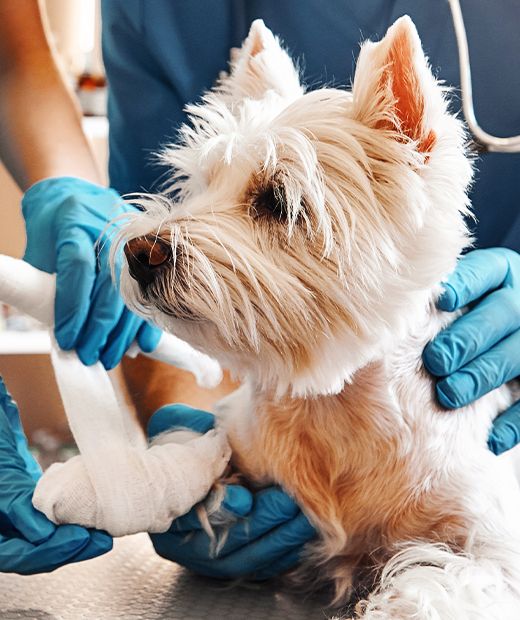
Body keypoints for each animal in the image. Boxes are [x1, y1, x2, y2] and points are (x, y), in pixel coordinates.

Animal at [116, 17, 520, 616]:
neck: (332, 411)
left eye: (277, 200)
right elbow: (193, 457)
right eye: (202, 184)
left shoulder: (492, 541)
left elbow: (441, 584)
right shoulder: (240, 438)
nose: (140, 252)